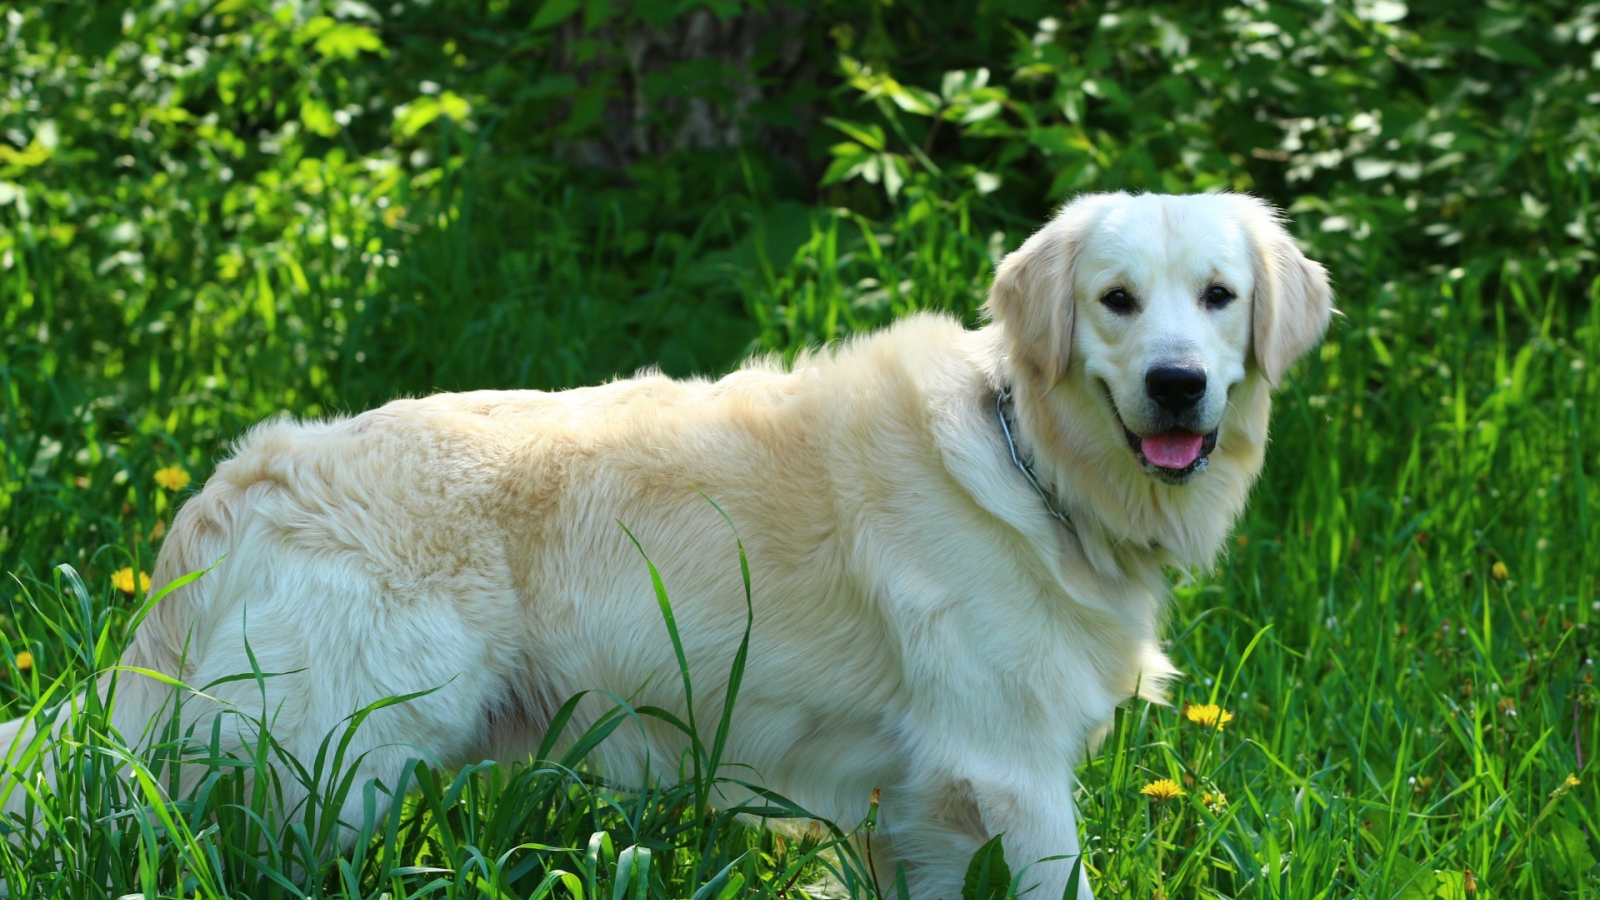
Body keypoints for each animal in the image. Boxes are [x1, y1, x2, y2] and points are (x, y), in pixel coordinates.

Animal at [0, 190, 1331, 896]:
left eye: (1218, 298)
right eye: (1116, 302)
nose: (1175, 385)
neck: (1030, 460)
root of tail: (254, 470)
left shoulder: (912, 807)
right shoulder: (1004, 770)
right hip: (325, 764)